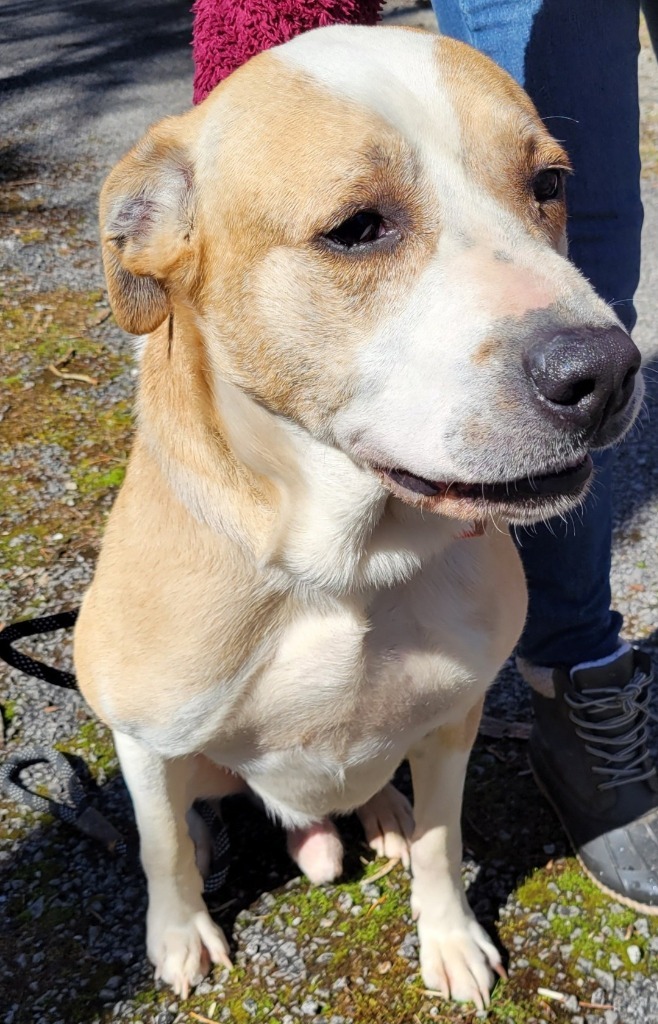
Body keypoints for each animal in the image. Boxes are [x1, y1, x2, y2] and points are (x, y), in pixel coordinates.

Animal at [73, 24, 642, 1007]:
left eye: (548, 183)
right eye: (357, 229)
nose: (607, 373)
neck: (342, 561)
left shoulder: (452, 721)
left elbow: (444, 846)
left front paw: (449, 938)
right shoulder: (142, 740)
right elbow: (160, 848)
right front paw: (178, 934)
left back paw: (377, 816)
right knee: (192, 812)